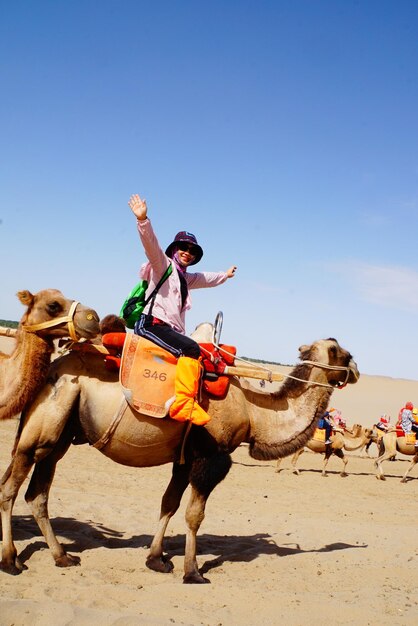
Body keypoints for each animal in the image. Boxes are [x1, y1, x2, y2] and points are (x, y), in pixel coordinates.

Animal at [0, 336, 360, 580]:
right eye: (340, 351)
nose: (356, 369)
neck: (254, 411)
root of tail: (50, 368)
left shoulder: (184, 459)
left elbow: (169, 504)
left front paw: (156, 559)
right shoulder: (211, 457)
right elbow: (194, 515)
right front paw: (193, 571)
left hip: (61, 434)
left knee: (37, 493)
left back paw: (62, 557)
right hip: (45, 429)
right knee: (11, 489)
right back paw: (11, 560)